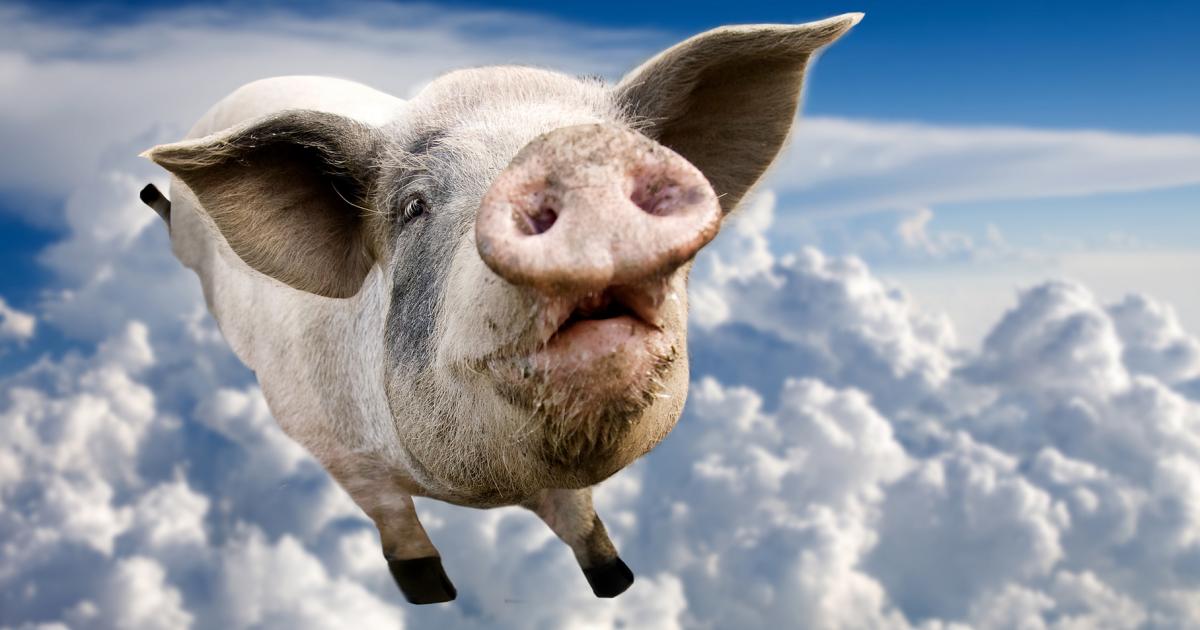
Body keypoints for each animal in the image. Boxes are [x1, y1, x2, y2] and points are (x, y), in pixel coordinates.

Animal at [141, 13, 861, 604]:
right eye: (414, 206)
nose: (574, 153)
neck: (486, 492)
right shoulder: (326, 439)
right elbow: (390, 515)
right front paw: (433, 595)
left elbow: (578, 513)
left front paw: (617, 580)